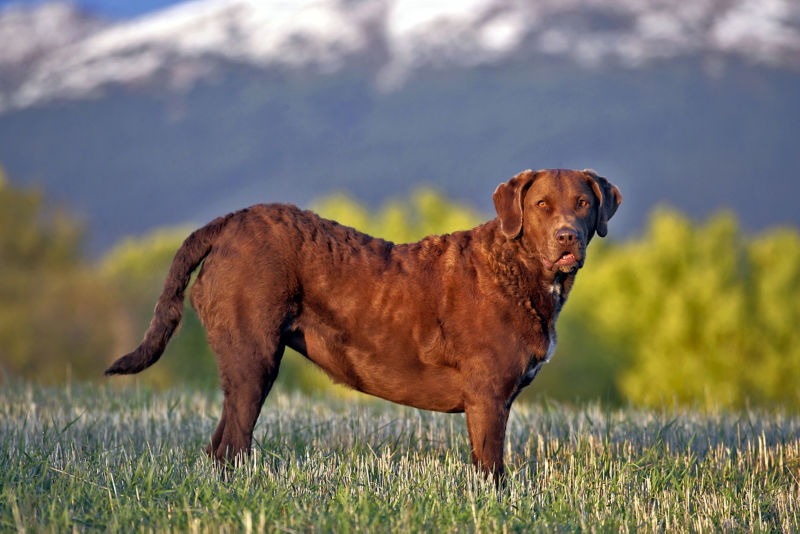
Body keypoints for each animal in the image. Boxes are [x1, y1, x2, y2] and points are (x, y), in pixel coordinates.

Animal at [104, 169, 620, 486]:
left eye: (581, 203)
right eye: (541, 204)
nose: (567, 237)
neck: (519, 267)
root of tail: (229, 222)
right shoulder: (487, 396)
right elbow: (491, 468)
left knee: (218, 448)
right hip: (253, 359)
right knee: (233, 444)